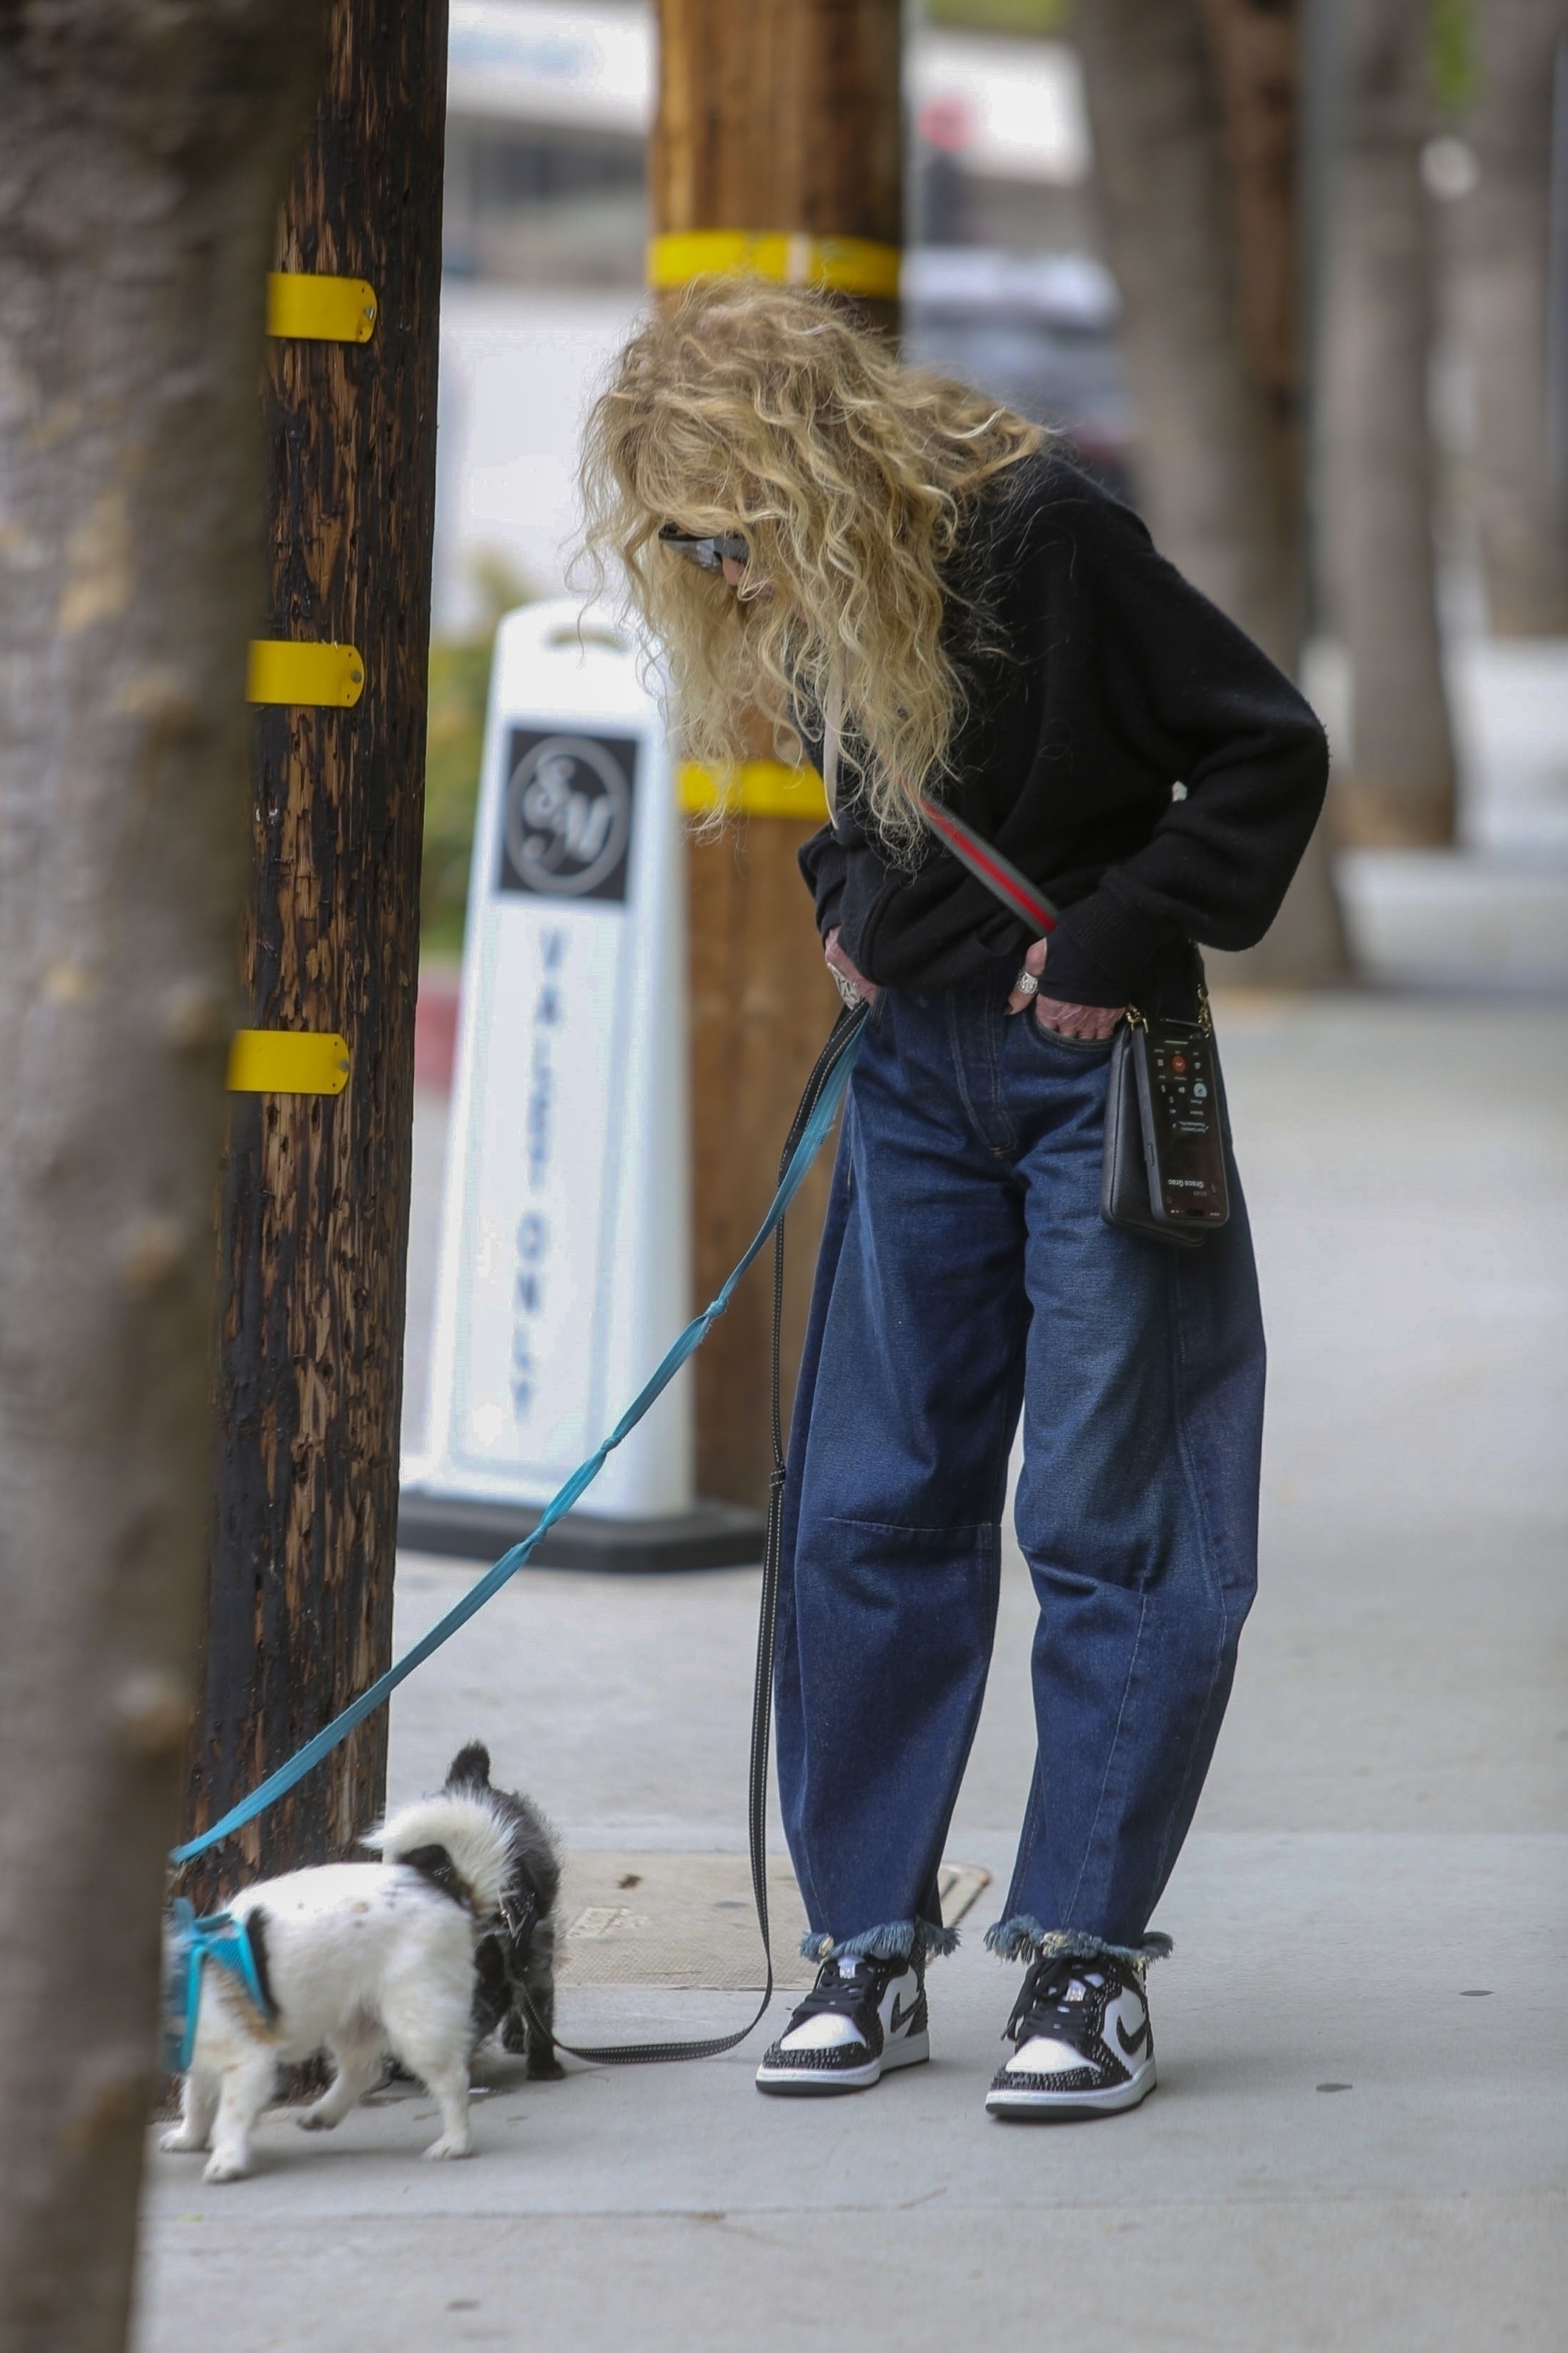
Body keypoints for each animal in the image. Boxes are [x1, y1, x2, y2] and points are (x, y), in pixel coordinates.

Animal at [162, 1788, 512, 2174]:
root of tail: (454, 1895)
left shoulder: (247, 2060)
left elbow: (230, 2113)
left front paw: (227, 2160)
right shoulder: (203, 2058)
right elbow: (196, 2100)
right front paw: (190, 2138)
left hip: (418, 2022)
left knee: (452, 2080)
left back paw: (455, 2142)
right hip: (353, 2015)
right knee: (364, 2069)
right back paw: (324, 2113)